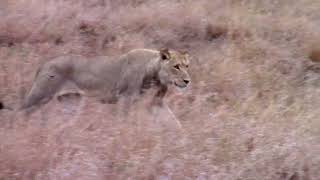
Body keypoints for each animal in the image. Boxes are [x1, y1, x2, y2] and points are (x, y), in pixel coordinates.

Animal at [21, 47, 191, 109]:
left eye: (187, 66)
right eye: (176, 66)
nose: (187, 81)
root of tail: (44, 64)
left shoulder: (157, 102)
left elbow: (175, 124)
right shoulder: (125, 99)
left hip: (70, 100)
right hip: (40, 95)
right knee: (20, 111)